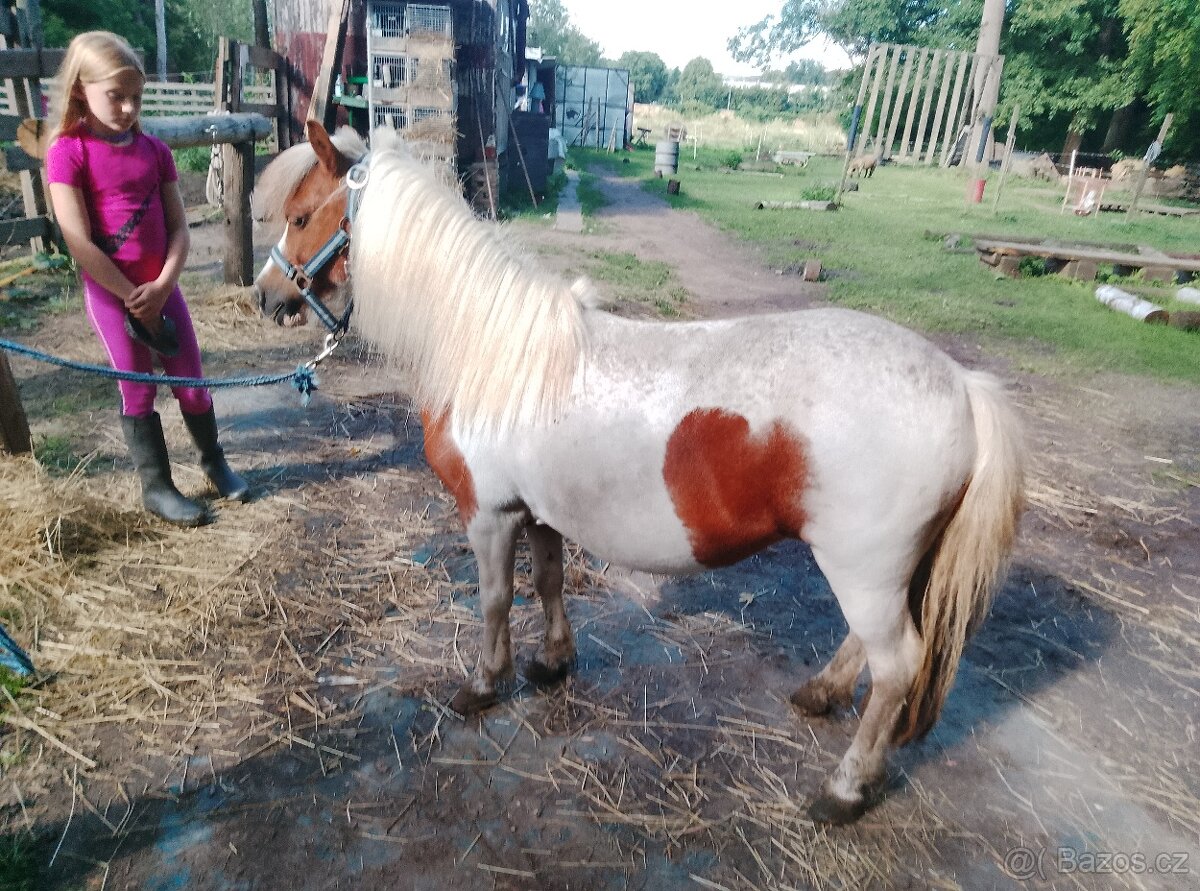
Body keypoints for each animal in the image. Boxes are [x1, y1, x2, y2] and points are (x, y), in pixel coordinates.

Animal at [252, 121, 1026, 825]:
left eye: (301, 216)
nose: (264, 297)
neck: (491, 353)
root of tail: (962, 388)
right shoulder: (538, 511)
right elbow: (550, 582)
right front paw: (551, 662)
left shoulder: (489, 514)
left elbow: (496, 600)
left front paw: (485, 682)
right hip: (881, 571)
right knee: (866, 647)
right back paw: (821, 694)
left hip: (863, 568)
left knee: (896, 668)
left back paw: (845, 788)